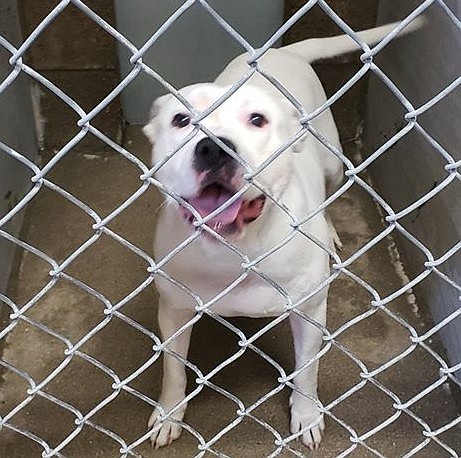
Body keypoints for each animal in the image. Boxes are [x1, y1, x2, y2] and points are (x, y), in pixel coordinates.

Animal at [144, 19, 420, 450]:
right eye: (181, 120)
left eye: (258, 119)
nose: (214, 148)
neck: (235, 250)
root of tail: (282, 51)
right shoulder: (173, 309)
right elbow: (173, 368)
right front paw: (169, 413)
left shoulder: (309, 313)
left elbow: (307, 371)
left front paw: (306, 415)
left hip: (332, 162)